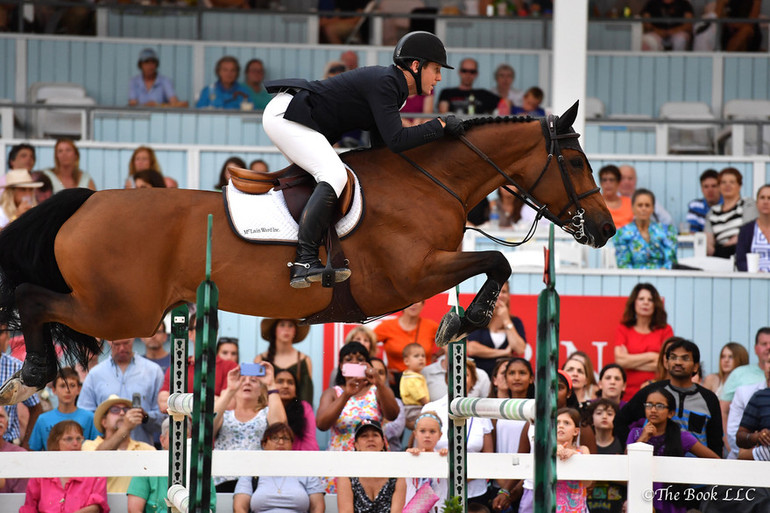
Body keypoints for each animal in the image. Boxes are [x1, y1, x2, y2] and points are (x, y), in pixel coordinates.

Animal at [0, 102, 612, 402]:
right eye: (575, 162)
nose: (604, 230)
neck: (427, 180)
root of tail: (86, 201)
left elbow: (493, 264)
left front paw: (459, 322)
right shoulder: (409, 276)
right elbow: (497, 261)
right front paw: (462, 324)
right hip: (120, 310)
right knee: (31, 297)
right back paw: (31, 374)